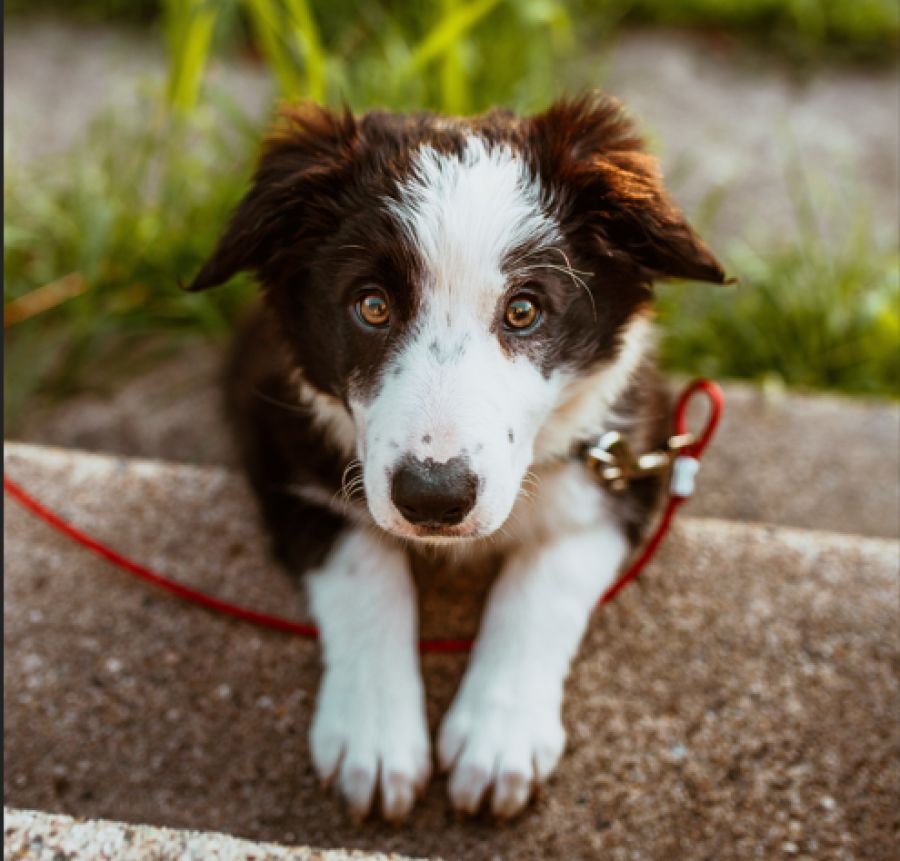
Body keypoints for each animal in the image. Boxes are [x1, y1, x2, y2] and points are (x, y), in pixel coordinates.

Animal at [188, 94, 724, 820]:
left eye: (524, 310)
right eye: (372, 306)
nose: (433, 498)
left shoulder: (627, 453)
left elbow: (544, 580)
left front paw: (498, 738)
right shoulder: (277, 437)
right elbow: (364, 564)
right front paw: (374, 737)